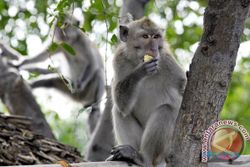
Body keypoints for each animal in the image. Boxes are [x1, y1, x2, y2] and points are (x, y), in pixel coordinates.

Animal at [108, 17, 187, 167]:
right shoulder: (118, 60)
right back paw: (129, 154)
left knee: (166, 110)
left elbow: (182, 85)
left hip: (167, 148)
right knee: (118, 110)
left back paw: (144, 158)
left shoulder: (167, 60)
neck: (136, 60)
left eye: (156, 37)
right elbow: (121, 104)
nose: (153, 48)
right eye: (145, 37)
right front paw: (140, 71)